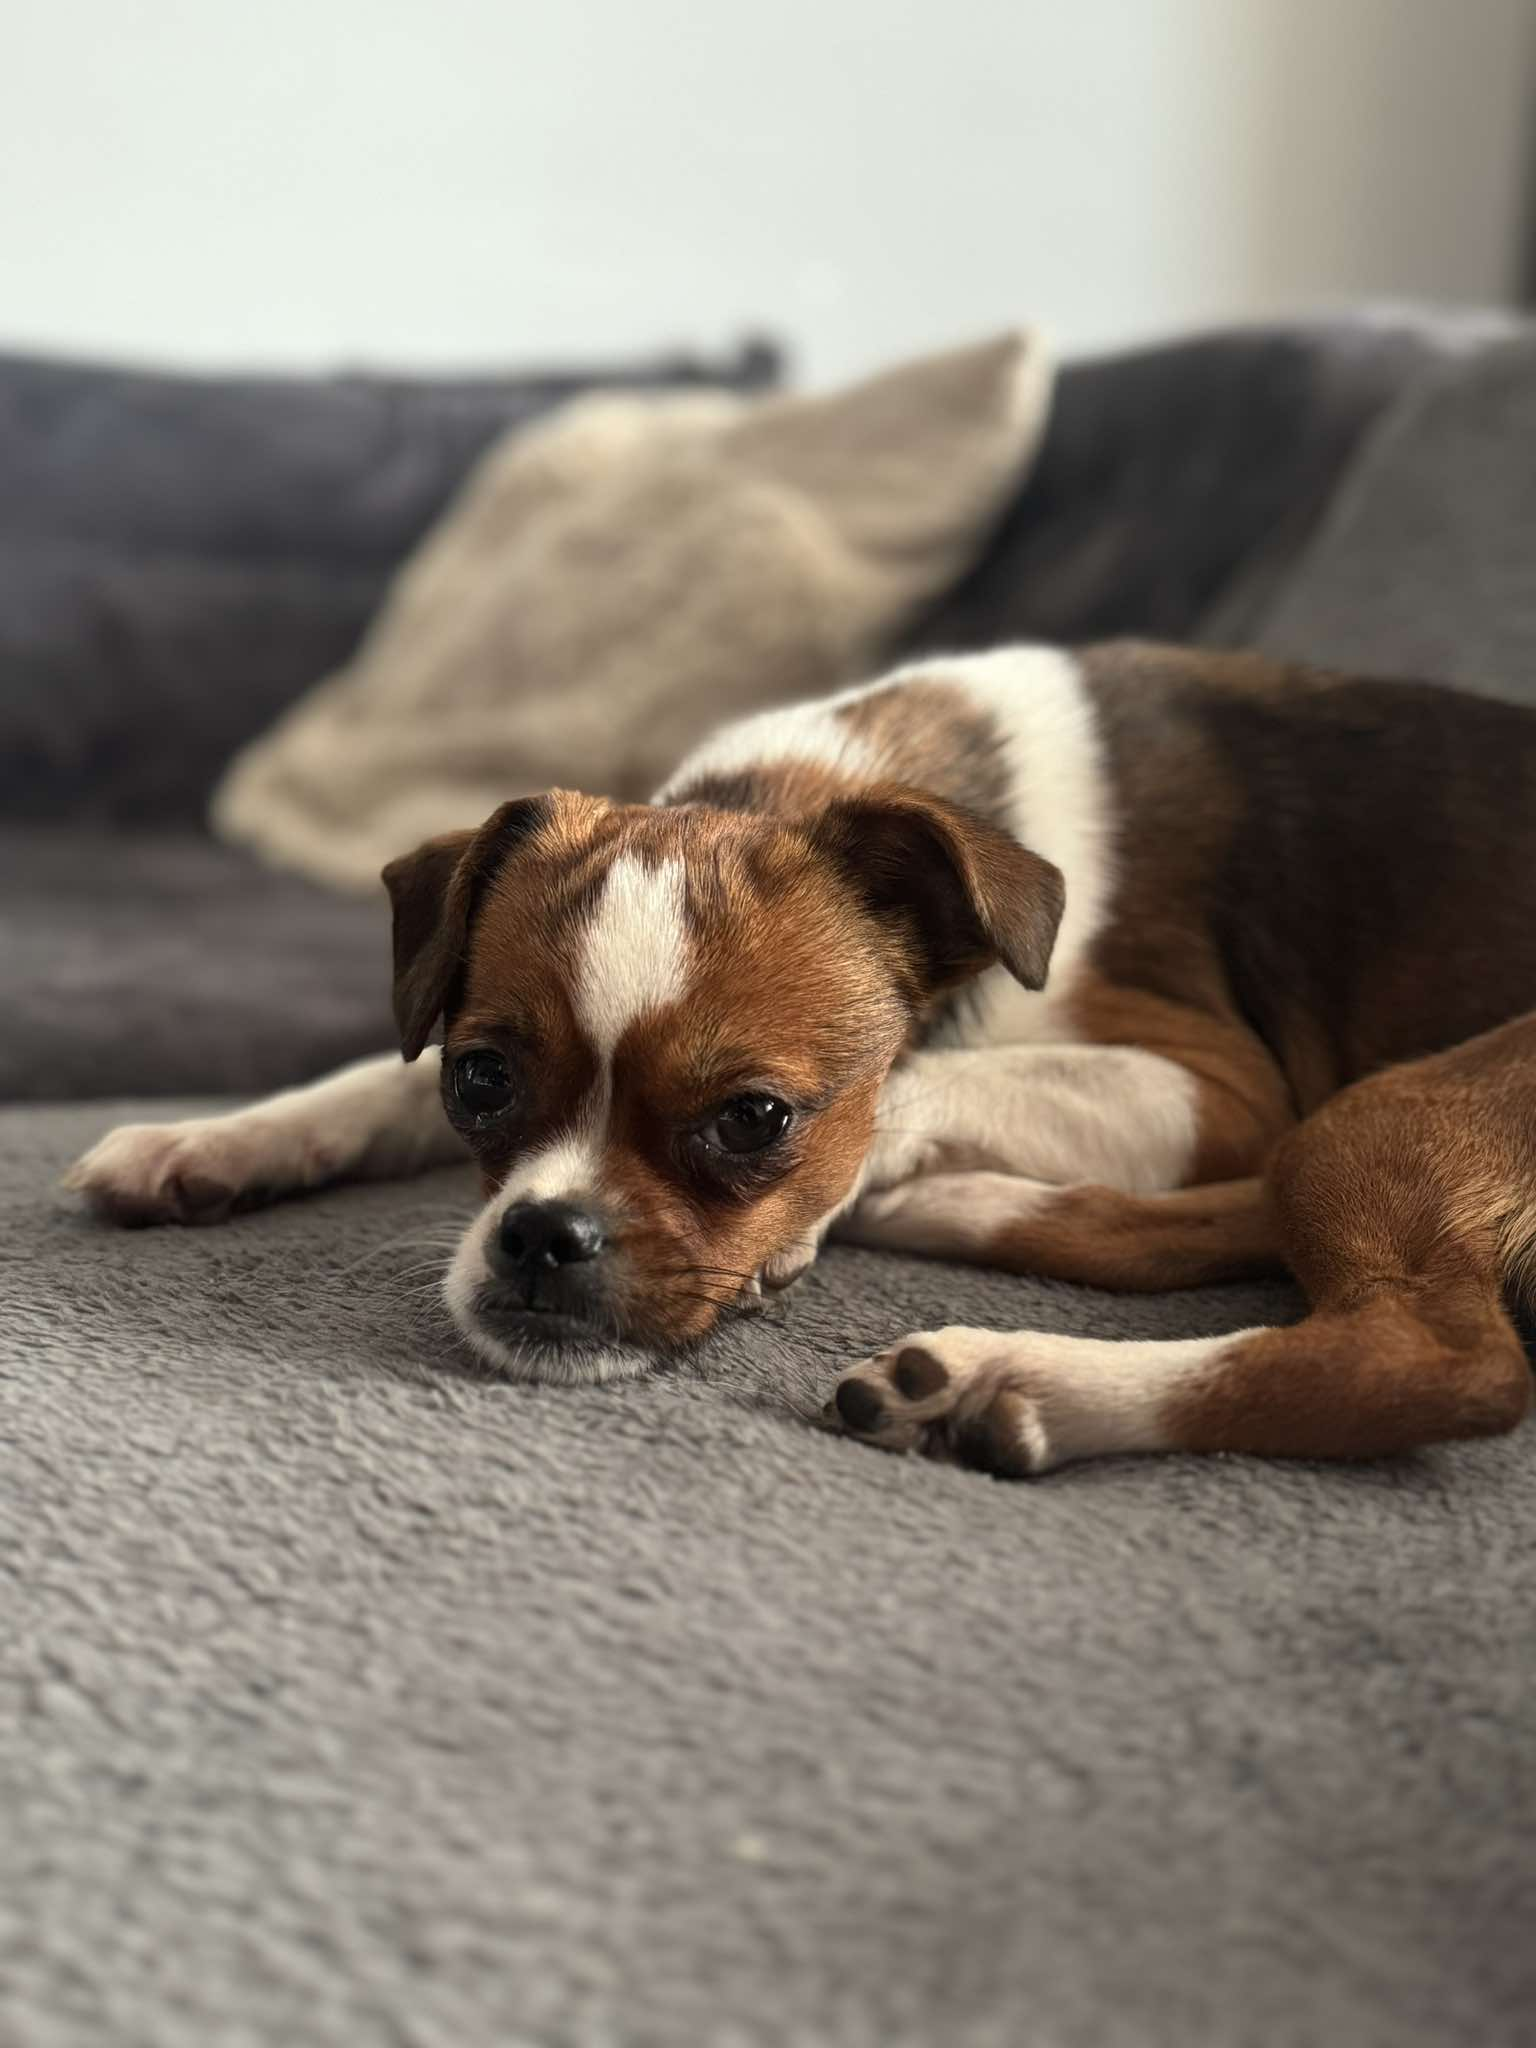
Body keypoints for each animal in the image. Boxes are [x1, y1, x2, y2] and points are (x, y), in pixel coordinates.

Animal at [67, 642, 1536, 1474]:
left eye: (755, 1119)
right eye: (479, 1080)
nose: (539, 1235)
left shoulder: (1217, 1088)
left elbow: (906, 1089)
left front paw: (842, 1191)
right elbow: (369, 1083)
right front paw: (211, 1138)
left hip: (1359, 1116)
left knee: (1432, 1359)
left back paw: (1016, 1377)